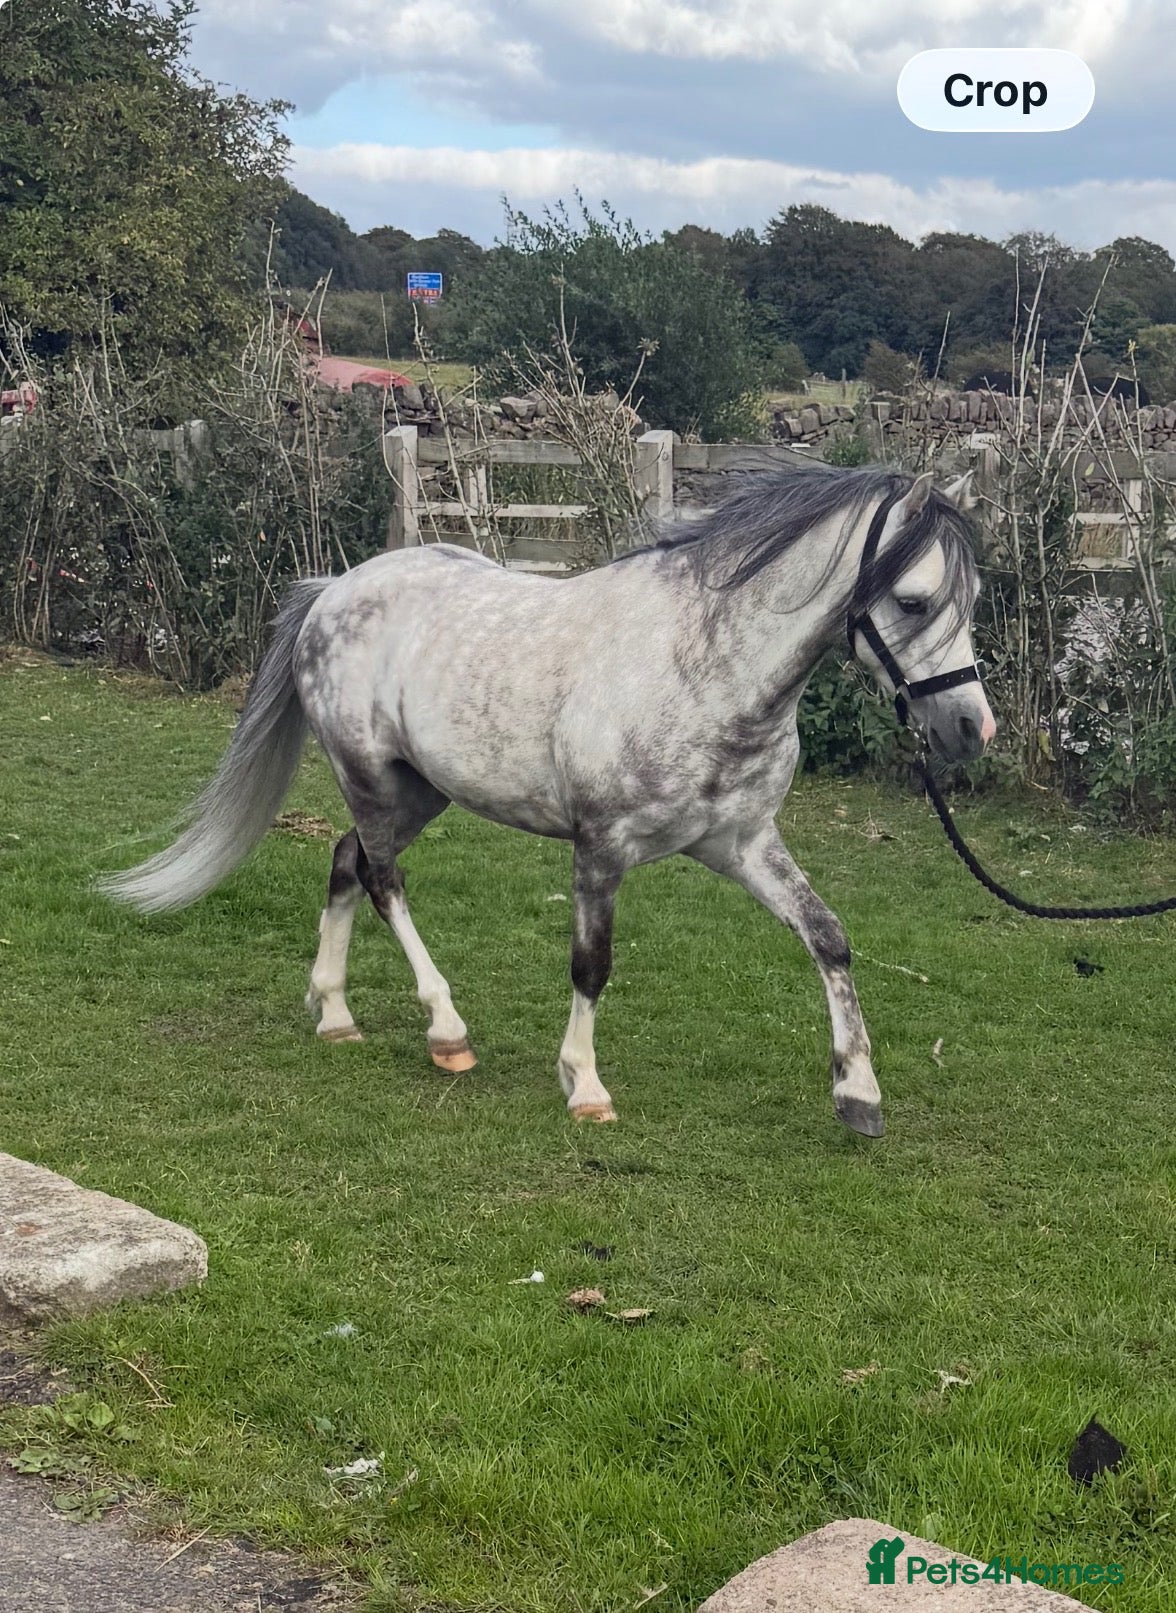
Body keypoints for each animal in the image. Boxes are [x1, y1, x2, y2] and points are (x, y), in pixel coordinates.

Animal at [99, 465, 995, 1139]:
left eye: (973, 597)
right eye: (913, 599)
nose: (970, 727)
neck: (704, 669)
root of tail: (334, 589)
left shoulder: (740, 842)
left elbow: (828, 938)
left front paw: (859, 1093)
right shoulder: (600, 849)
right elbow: (591, 964)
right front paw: (585, 1085)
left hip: (415, 792)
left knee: (346, 860)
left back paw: (335, 1012)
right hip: (372, 779)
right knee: (383, 880)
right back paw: (446, 1031)